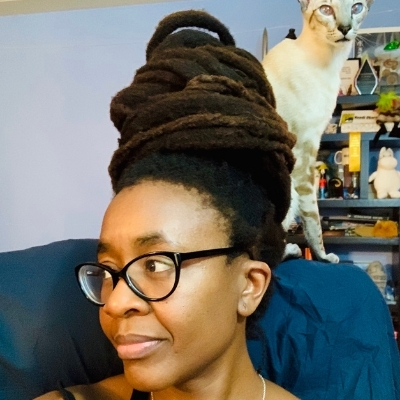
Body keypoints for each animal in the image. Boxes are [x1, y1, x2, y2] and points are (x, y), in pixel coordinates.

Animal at [264, 0, 374, 262]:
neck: (329, 63)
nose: (345, 28)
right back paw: (292, 250)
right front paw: (323, 257)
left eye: (357, 7)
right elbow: (313, 218)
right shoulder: (305, 150)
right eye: (326, 9)